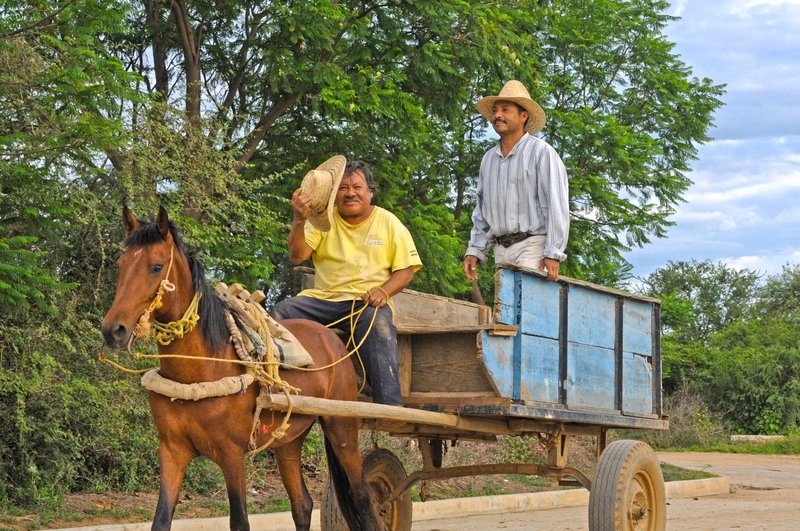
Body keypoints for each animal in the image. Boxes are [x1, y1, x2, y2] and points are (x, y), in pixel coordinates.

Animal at [100, 208, 382, 531]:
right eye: (121, 264)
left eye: (156, 266)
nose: (113, 330)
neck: (201, 370)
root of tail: (332, 338)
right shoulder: (171, 450)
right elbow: (160, 520)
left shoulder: (232, 454)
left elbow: (239, 520)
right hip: (288, 439)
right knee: (302, 504)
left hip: (342, 428)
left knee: (361, 496)